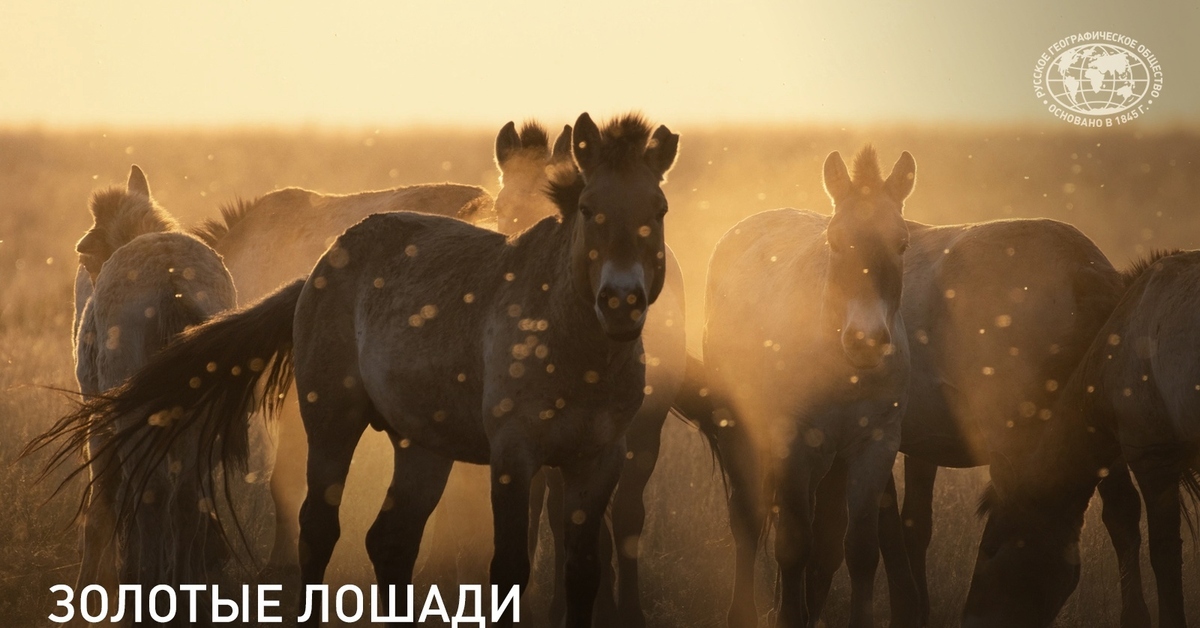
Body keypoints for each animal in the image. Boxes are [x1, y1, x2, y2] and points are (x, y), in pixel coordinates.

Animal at [30, 164, 236, 614]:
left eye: (86, 257)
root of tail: (172, 284)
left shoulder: (100, 423)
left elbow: (102, 504)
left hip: (131, 415)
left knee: (151, 494)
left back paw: (146, 588)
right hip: (197, 416)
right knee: (186, 496)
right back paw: (180, 592)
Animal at [494, 120, 691, 624]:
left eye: (659, 209)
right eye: (501, 208)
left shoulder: (634, 433)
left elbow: (620, 518)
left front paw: (620, 610)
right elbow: (557, 515)